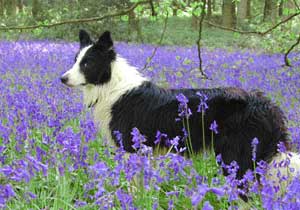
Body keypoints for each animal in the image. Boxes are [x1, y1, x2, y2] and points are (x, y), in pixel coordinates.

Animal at [59, 30, 298, 180]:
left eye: (87, 63)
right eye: (75, 60)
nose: (62, 79)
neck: (111, 85)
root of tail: (268, 105)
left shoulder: (131, 149)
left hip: (238, 158)